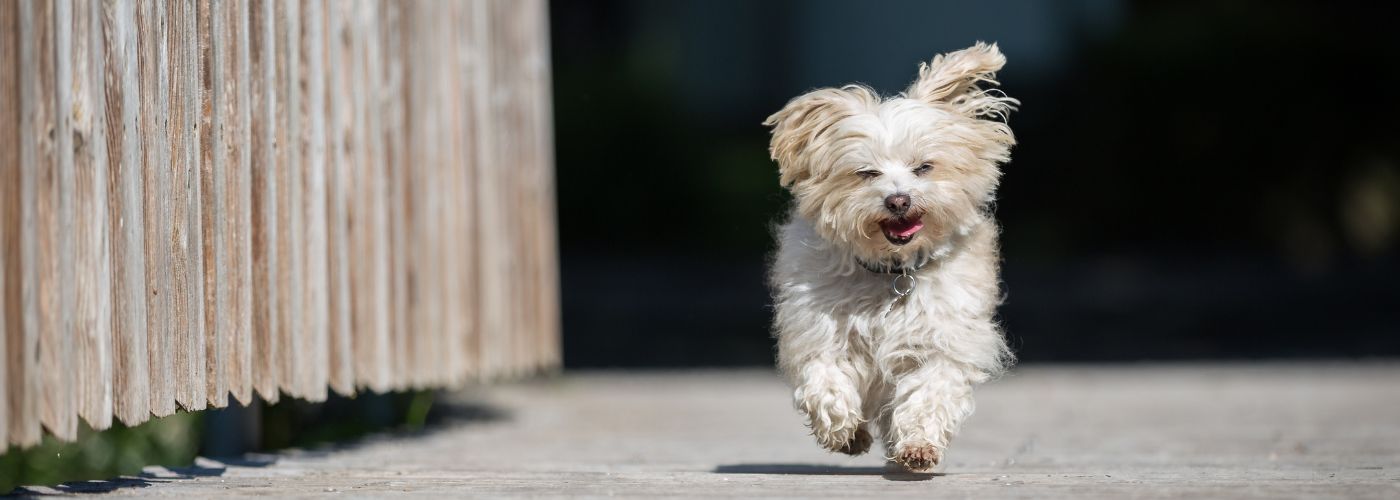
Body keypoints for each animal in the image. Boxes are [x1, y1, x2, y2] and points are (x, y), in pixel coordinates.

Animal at [767, 42, 1019, 470]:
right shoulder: (819, 330)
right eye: (867, 173)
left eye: (924, 167)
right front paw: (841, 428)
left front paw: (919, 444)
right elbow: (825, 377)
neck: (892, 271)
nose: (898, 200)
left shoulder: (942, 340)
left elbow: (929, 391)